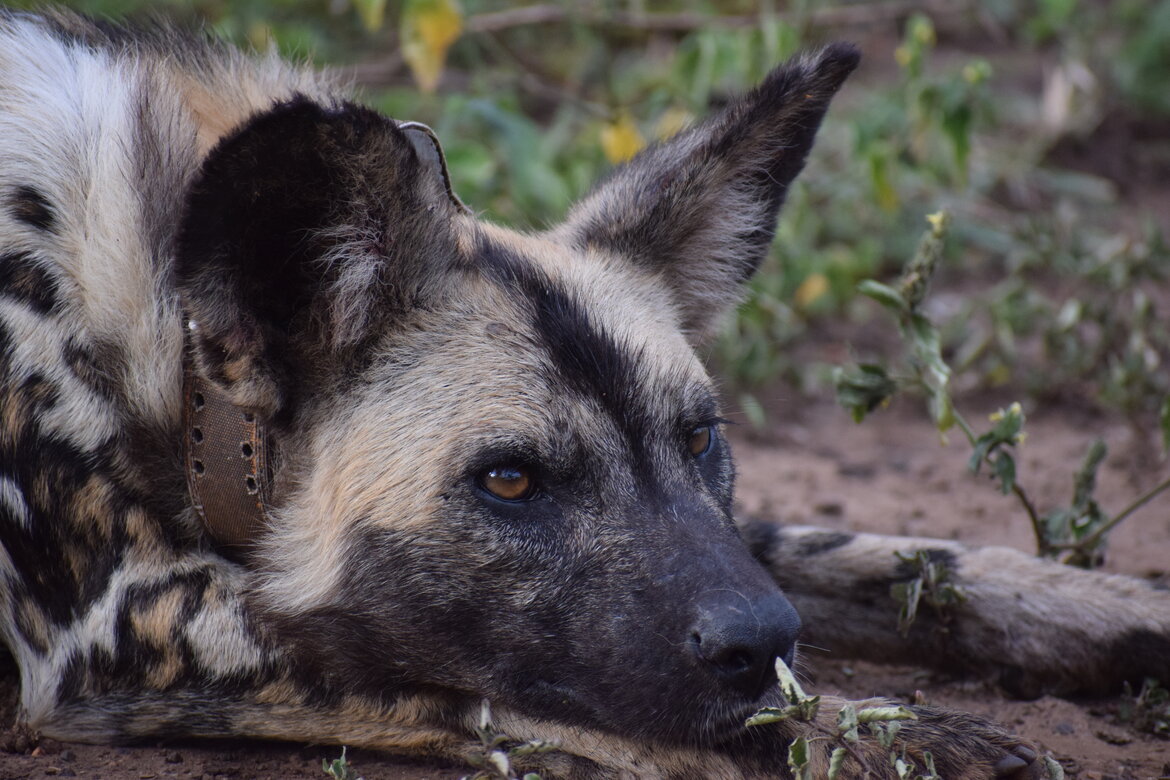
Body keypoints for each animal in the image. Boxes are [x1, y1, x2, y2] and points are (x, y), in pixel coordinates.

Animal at [0, 7, 1165, 780]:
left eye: (699, 440)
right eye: (511, 481)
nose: (759, 638)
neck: (183, 377)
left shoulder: (724, 541)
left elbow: (896, 559)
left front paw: (1114, 612)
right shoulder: (124, 634)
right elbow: (607, 707)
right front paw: (893, 737)